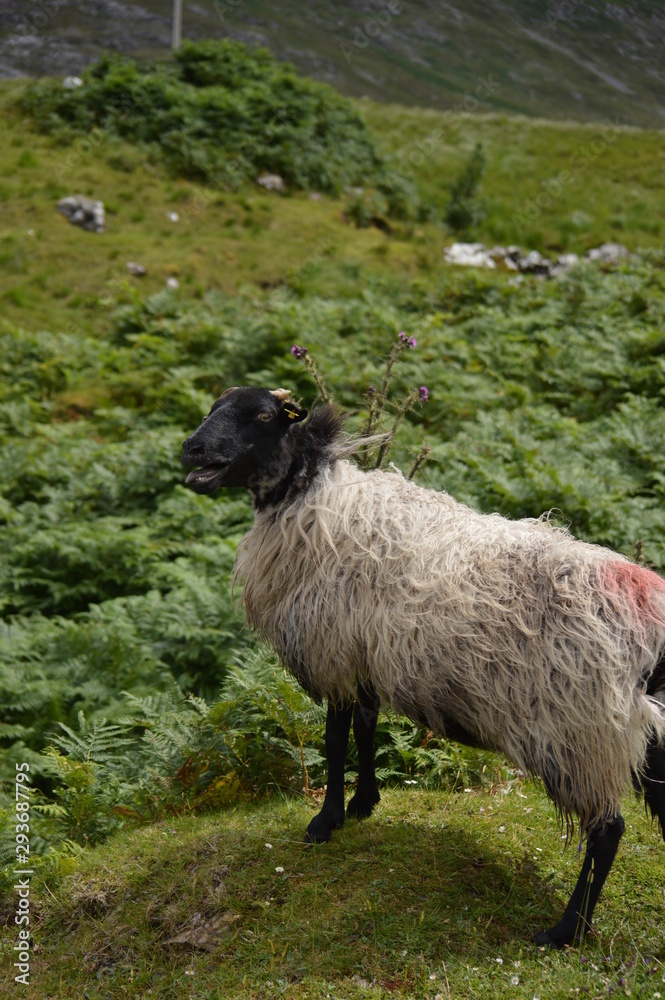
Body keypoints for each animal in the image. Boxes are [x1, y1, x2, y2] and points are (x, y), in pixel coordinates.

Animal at [181, 385, 665, 948]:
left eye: (261, 416)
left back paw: (566, 930)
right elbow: (365, 728)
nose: (192, 449)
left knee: (607, 831)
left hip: (583, 732)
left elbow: (334, 739)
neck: (313, 499)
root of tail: (648, 609)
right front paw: (364, 802)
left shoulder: (334, 650)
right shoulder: (362, 654)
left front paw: (325, 820)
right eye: (214, 406)